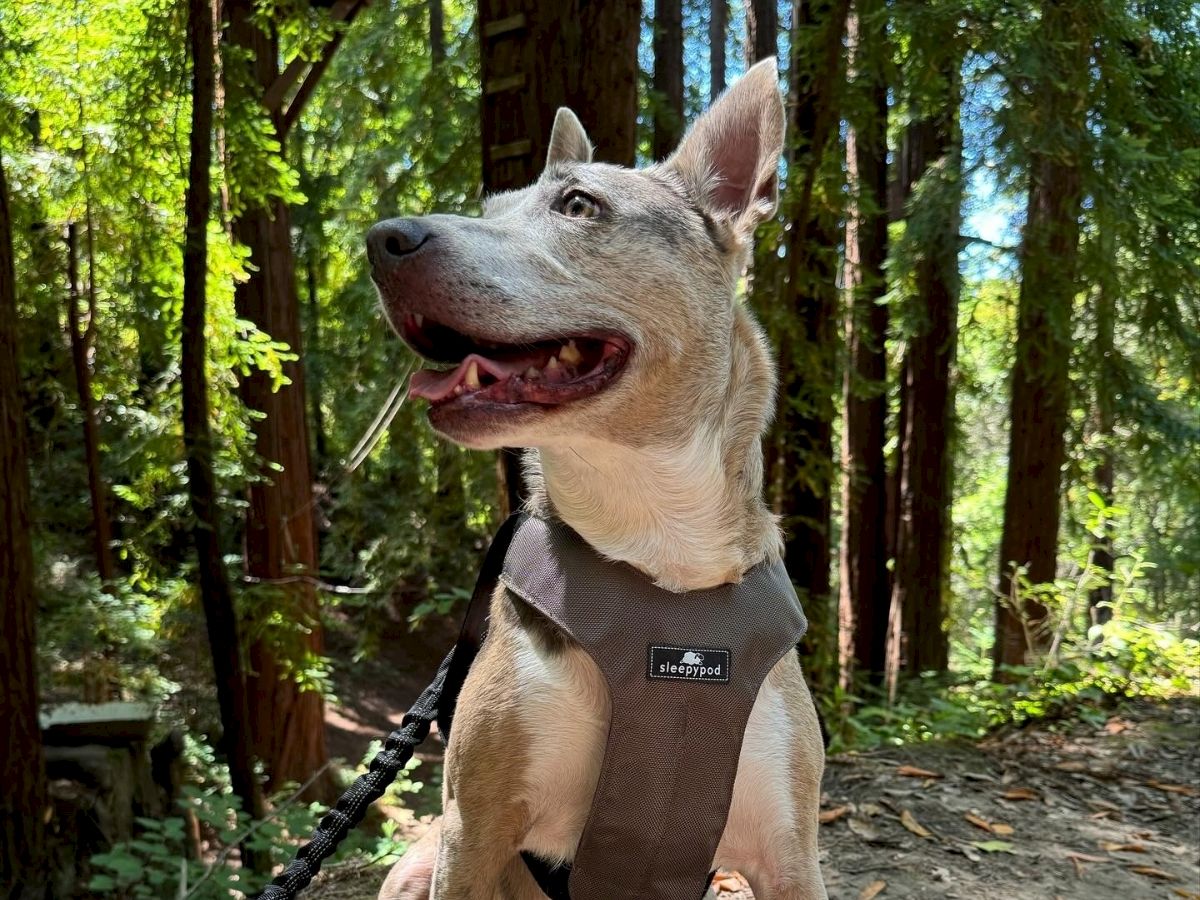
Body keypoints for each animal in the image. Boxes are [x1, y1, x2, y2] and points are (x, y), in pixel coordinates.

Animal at [369, 58, 830, 900]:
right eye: (492, 208)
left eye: (578, 204)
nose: (382, 239)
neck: (657, 540)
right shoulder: (471, 834)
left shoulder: (790, 851)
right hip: (417, 866)